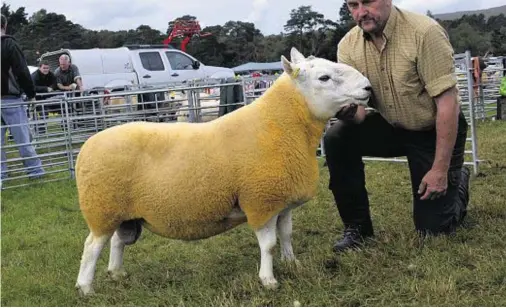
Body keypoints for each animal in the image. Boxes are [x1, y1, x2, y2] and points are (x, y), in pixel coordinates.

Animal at [74, 46, 372, 296]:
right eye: (324, 77)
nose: (368, 87)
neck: (280, 125)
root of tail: (87, 146)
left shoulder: (283, 203)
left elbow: (286, 236)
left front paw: (292, 265)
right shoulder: (260, 201)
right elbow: (269, 245)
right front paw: (268, 280)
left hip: (122, 211)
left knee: (116, 242)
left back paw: (117, 274)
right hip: (101, 208)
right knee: (91, 247)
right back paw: (86, 288)